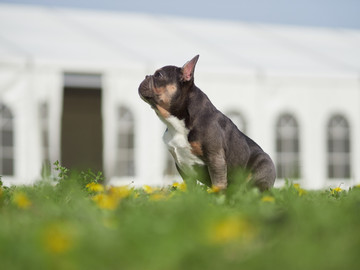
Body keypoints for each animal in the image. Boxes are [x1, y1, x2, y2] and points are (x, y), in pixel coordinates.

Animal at [138, 54, 276, 191]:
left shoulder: (215, 158)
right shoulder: (182, 167)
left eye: (159, 75)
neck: (178, 122)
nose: (146, 76)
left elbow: (218, 183)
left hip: (261, 170)